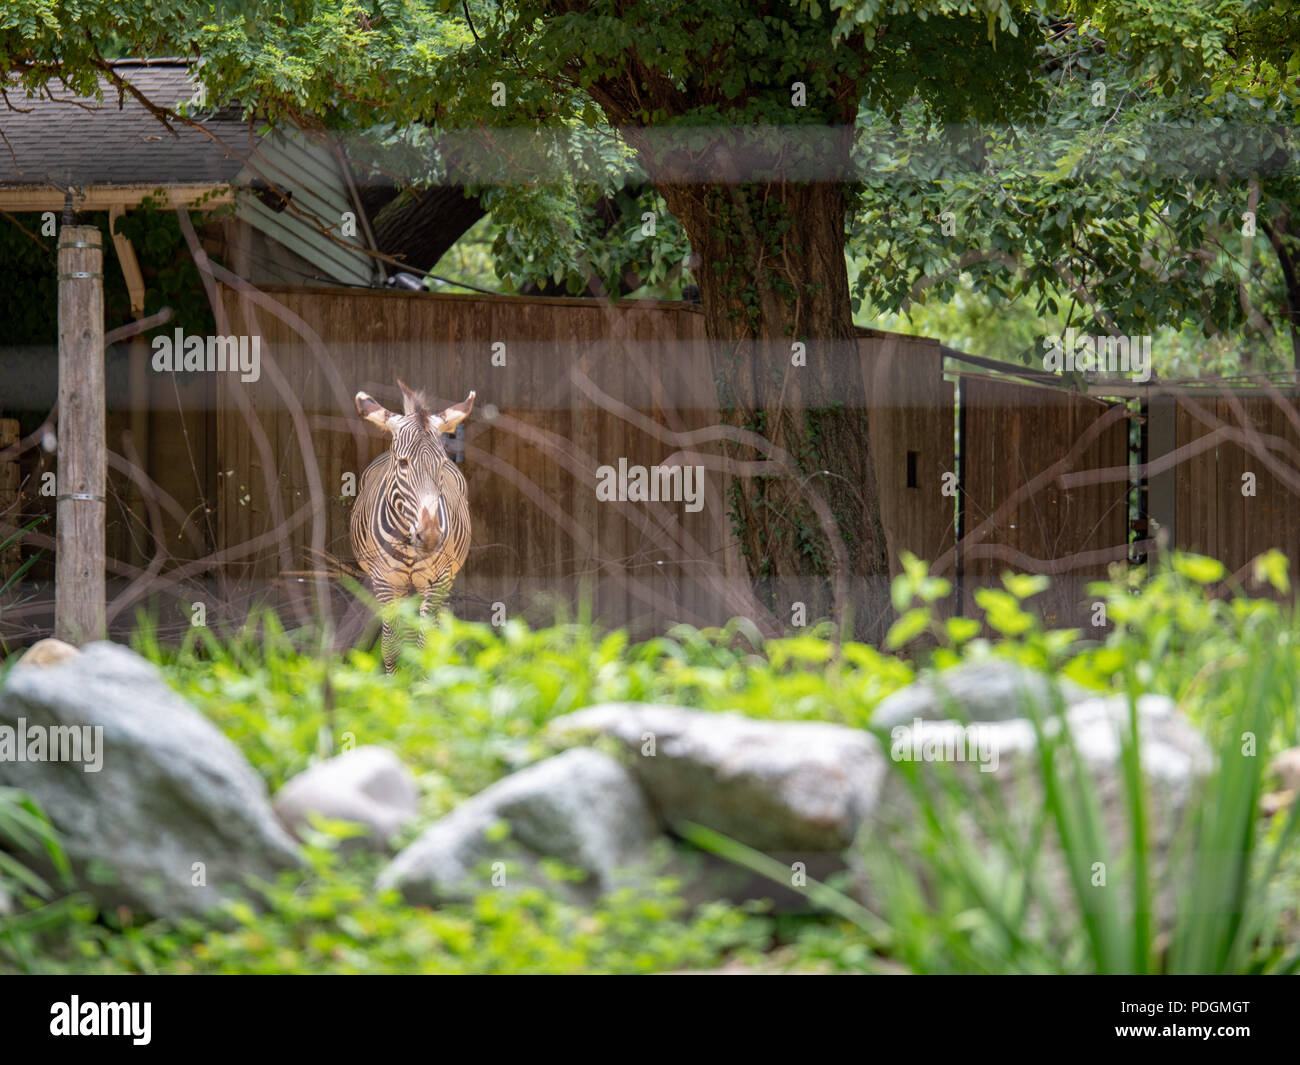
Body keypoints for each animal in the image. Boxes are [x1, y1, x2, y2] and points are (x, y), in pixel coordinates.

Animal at [351, 379, 478, 670]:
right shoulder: (385, 581)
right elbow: (390, 647)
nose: (429, 537)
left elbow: (426, 644)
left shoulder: (439, 580)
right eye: (403, 463)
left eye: (441, 464)